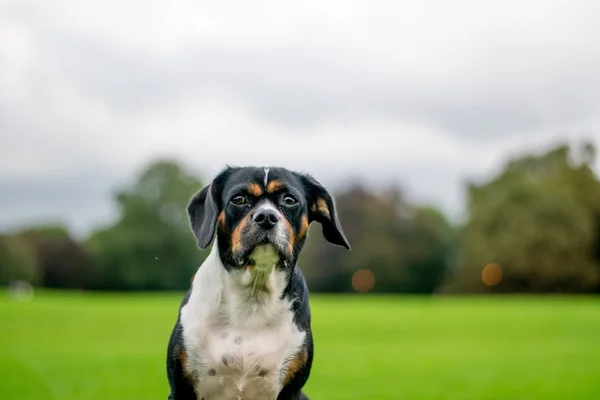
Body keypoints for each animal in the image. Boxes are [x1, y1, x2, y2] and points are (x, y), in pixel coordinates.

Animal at [166, 166, 350, 400]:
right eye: (238, 199)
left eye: (290, 200)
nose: (266, 217)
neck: (253, 296)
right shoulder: (181, 388)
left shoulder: (291, 390)